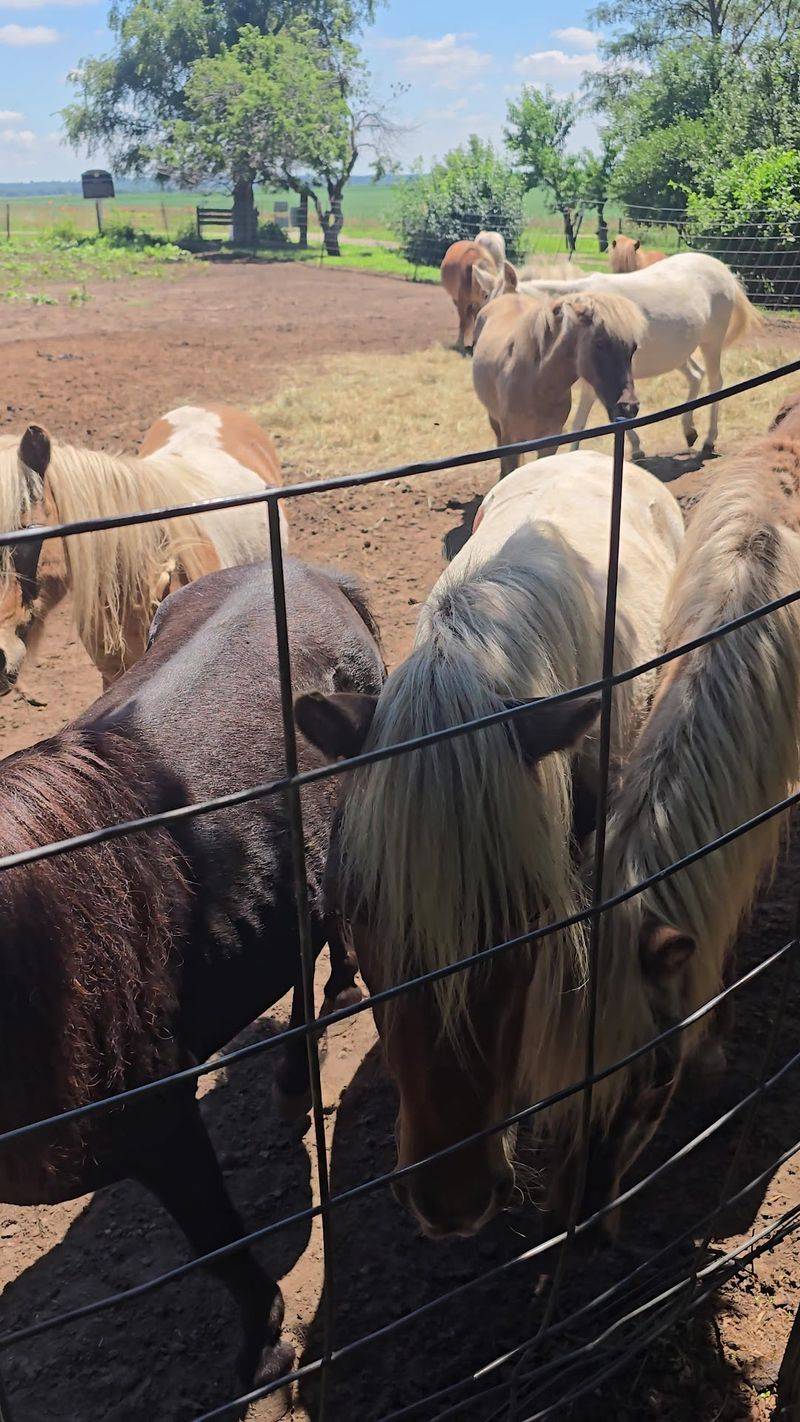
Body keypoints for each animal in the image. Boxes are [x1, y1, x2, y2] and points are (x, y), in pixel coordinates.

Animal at [471, 288, 643, 478]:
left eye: (634, 347)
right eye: (599, 344)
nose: (629, 407)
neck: (537, 384)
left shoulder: (550, 442)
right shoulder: (512, 442)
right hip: (495, 422)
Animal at [516, 252, 761, 458]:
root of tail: (721, 267)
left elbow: (585, 420)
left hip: (711, 343)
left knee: (715, 382)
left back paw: (709, 441)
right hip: (676, 354)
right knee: (696, 375)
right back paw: (689, 431)